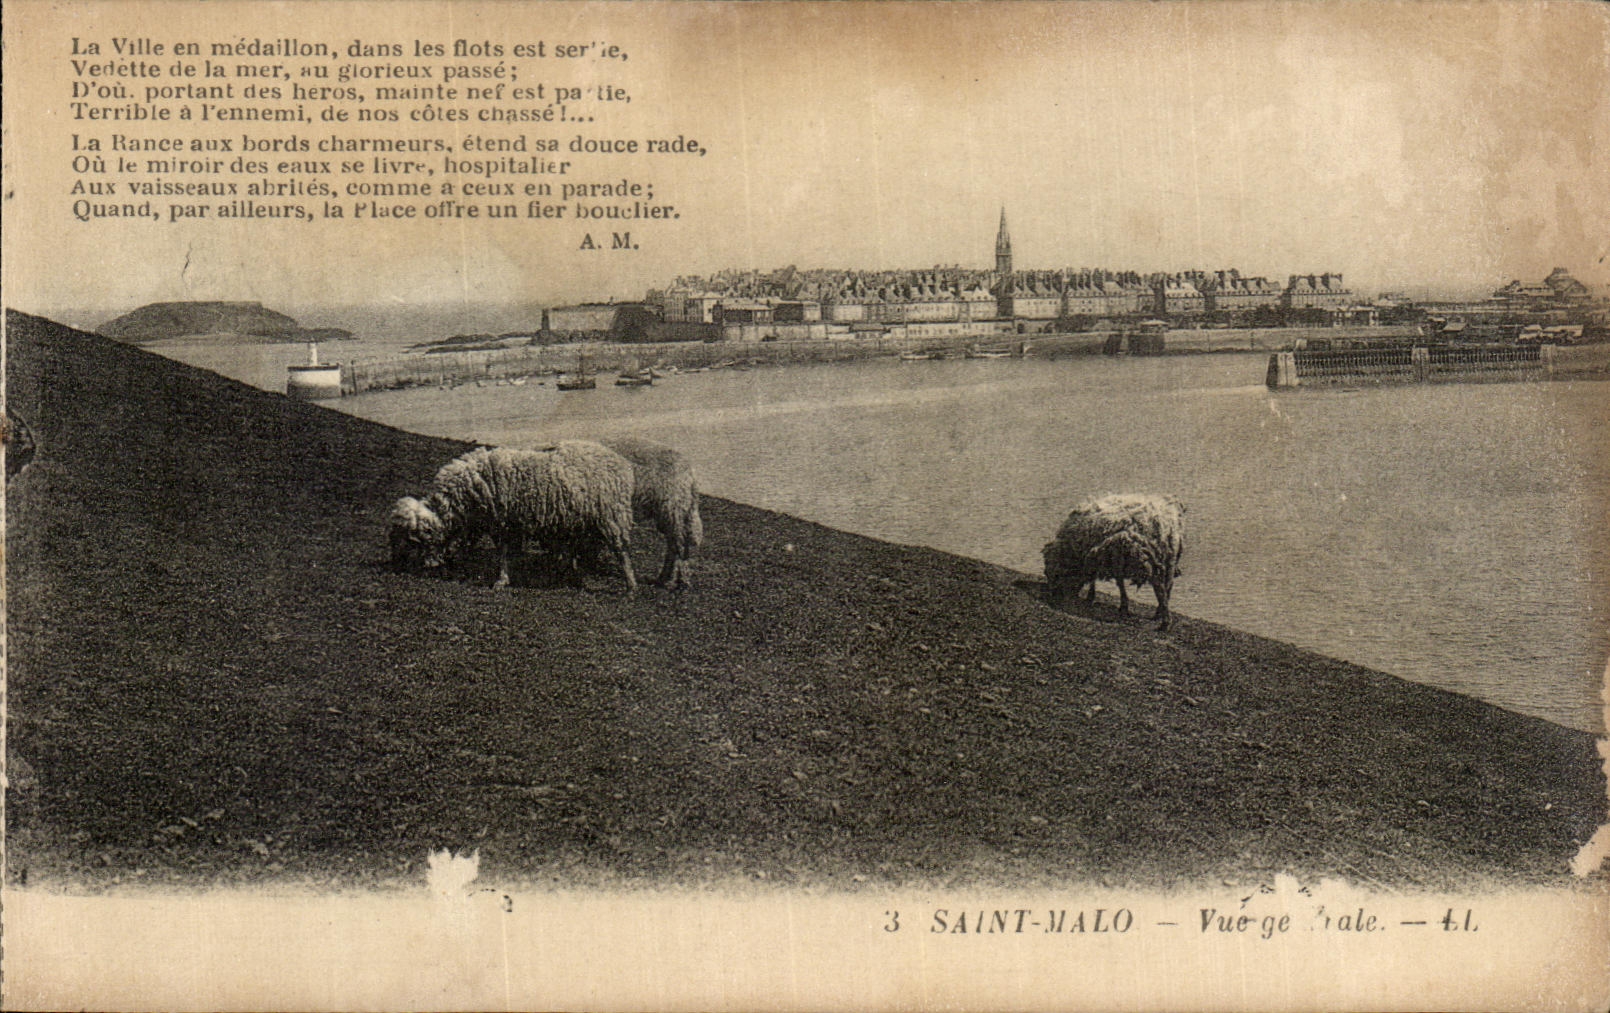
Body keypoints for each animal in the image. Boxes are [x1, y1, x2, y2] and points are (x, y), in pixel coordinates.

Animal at [390, 442, 637, 591]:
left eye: (413, 540)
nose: (399, 566)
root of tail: (620, 461)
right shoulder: (492, 523)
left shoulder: (501, 522)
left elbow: (503, 553)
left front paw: (501, 580)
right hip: (583, 521)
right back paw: (571, 572)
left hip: (612, 515)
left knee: (621, 551)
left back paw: (630, 585)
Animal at [599, 436, 703, 588]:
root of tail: (690, 472)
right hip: (670, 513)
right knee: (673, 544)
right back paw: (664, 578)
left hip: (674, 509)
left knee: (680, 543)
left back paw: (681, 581)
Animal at [1043, 493, 1185, 630]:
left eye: (1053, 573)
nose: (1052, 594)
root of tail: (1165, 523)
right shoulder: (1108, 558)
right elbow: (1113, 581)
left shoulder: (1106, 556)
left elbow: (1114, 582)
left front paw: (1113, 604)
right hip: (1170, 559)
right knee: (1168, 586)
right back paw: (1158, 613)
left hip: (1150, 558)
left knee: (1160, 589)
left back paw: (1165, 623)